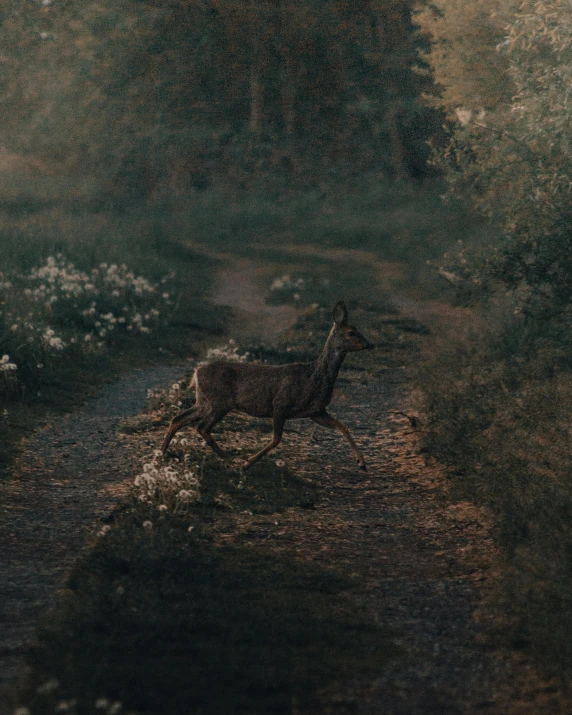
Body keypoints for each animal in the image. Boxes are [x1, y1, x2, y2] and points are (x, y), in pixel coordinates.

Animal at [162, 300, 376, 470]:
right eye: (352, 332)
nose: (370, 345)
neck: (314, 376)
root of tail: (196, 373)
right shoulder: (280, 403)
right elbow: (276, 439)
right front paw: (247, 463)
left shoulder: (316, 411)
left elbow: (343, 427)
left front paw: (362, 463)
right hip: (220, 401)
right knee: (202, 427)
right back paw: (229, 460)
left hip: (204, 401)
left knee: (178, 418)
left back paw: (162, 453)